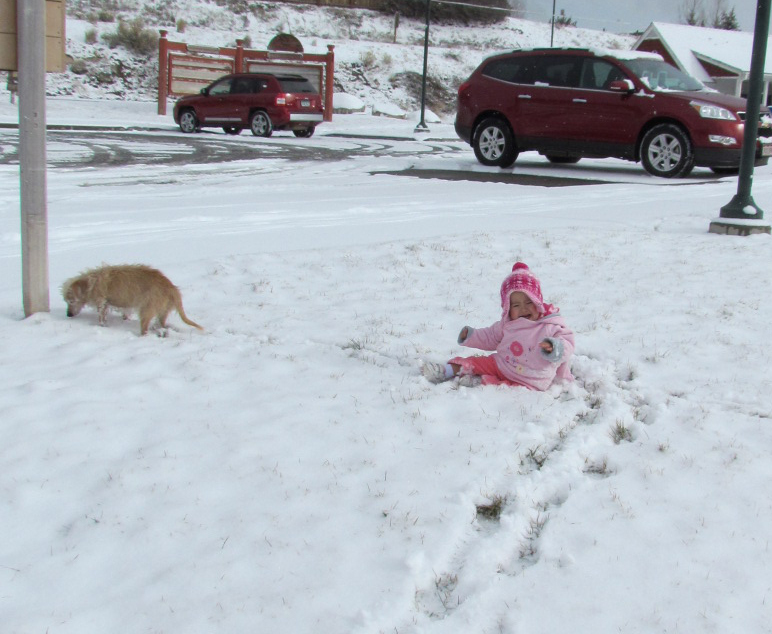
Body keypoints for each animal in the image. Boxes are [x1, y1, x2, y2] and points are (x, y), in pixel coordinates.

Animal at [61, 264, 204, 336]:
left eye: (72, 301)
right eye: (66, 301)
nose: (68, 315)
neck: (92, 282)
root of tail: (171, 288)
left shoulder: (102, 302)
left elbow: (101, 317)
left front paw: (102, 326)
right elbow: (125, 313)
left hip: (146, 310)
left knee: (145, 330)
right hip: (163, 311)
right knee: (161, 325)